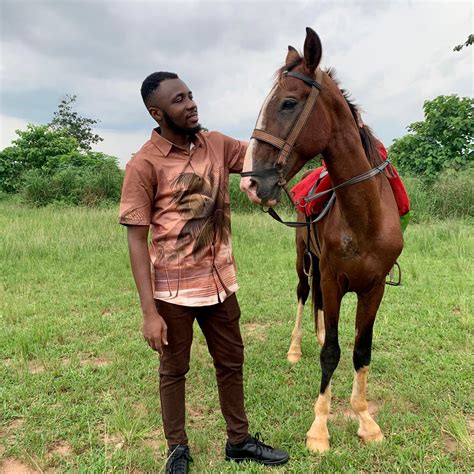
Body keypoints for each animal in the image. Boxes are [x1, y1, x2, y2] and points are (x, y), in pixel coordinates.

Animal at [240, 27, 404, 453]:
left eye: (288, 103)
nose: (251, 183)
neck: (364, 217)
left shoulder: (374, 288)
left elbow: (361, 350)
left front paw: (365, 420)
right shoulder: (332, 280)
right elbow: (331, 353)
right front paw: (319, 429)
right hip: (303, 259)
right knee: (302, 292)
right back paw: (297, 346)